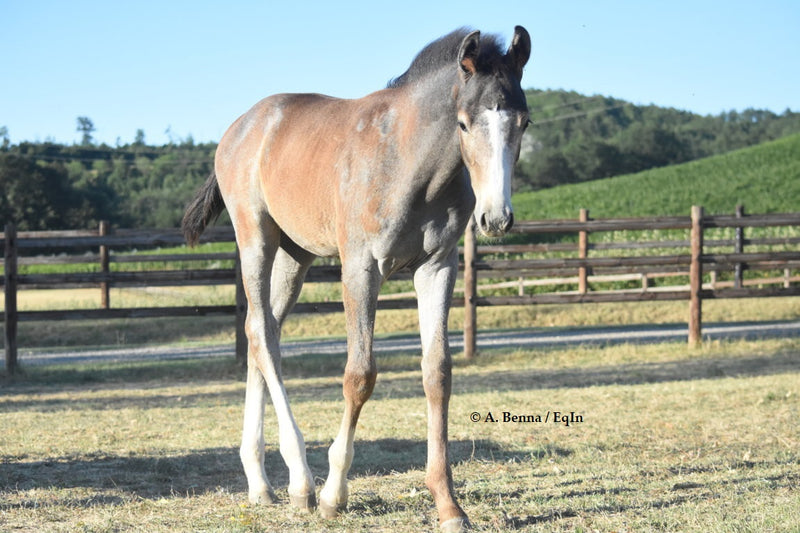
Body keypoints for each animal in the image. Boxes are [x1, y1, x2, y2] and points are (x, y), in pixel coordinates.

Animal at [183, 26, 532, 532]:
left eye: (523, 122)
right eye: (464, 124)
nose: (496, 219)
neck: (409, 163)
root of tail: (241, 127)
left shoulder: (437, 266)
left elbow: (437, 372)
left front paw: (448, 505)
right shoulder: (361, 267)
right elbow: (360, 374)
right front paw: (334, 494)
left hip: (296, 255)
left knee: (261, 330)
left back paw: (260, 484)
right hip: (255, 239)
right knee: (262, 333)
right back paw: (301, 483)